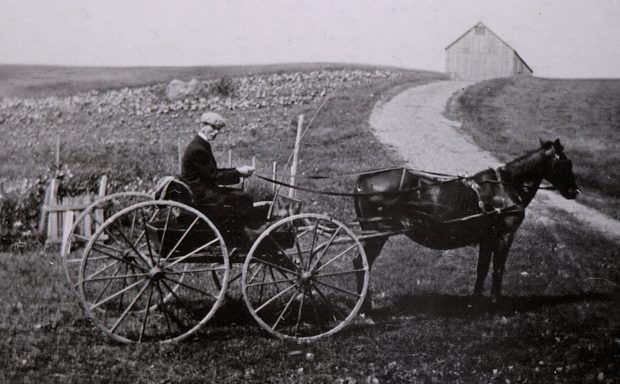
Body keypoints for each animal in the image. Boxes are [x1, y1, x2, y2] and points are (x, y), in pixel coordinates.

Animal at [354, 138, 580, 312]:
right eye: (566, 162)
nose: (575, 191)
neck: (504, 187)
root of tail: (362, 182)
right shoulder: (505, 234)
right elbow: (498, 268)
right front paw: (495, 304)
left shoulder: (488, 237)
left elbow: (482, 269)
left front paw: (475, 302)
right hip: (378, 233)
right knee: (361, 263)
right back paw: (364, 309)